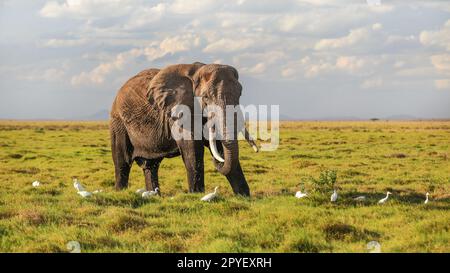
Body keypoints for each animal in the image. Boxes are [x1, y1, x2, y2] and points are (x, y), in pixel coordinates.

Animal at [109, 62, 256, 196]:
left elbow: (220, 145)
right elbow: (192, 148)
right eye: (206, 97)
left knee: (150, 166)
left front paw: (243, 196)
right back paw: (121, 192)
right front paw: (196, 195)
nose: (217, 161)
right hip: (118, 122)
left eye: (240, 94)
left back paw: (155, 196)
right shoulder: (180, 112)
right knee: (122, 163)